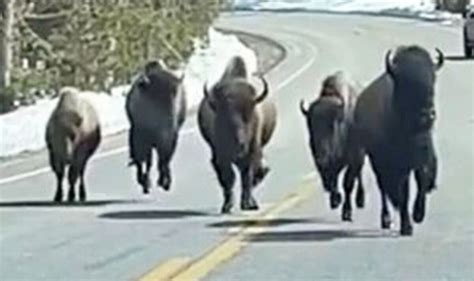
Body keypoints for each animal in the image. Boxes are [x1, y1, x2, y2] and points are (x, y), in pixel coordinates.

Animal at [197, 55, 278, 213]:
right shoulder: (220, 155)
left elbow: (247, 177)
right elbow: (228, 178)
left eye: (249, 114)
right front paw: (227, 206)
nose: (239, 144)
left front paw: (247, 204)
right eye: (223, 116)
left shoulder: (251, 152)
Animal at [300, 71, 366, 220]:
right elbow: (331, 182)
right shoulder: (325, 166)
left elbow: (347, 183)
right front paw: (335, 200)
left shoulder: (355, 157)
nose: (321, 157)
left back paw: (360, 200)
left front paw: (346, 211)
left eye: (332, 127)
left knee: (358, 175)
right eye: (310, 127)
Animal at [342, 45, 442, 234]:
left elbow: (421, 182)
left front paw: (418, 215)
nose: (427, 115)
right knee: (382, 188)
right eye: (406, 83)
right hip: (374, 161)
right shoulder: (394, 165)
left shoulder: (420, 159)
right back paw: (386, 218)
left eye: (433, 79)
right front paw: (407, 226)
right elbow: (402, 194)